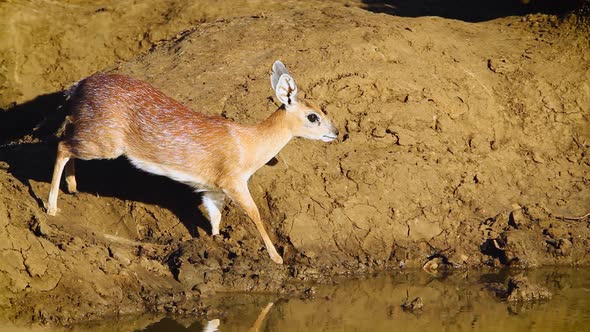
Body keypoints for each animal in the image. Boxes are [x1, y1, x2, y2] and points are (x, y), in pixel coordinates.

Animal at [45, 60, 342, 264]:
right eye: (313, 116)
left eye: (323, 110)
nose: (337, 132)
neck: (250, 144)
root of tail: (77, 88)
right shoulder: (233, 181)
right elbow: (255, 213)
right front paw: (277, 257)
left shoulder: (212, 188)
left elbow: (215, 217)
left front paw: (216, 243)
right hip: (105, 142)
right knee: (61, 145)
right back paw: (51, 207)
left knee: (66, 141)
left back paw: (72, 187)